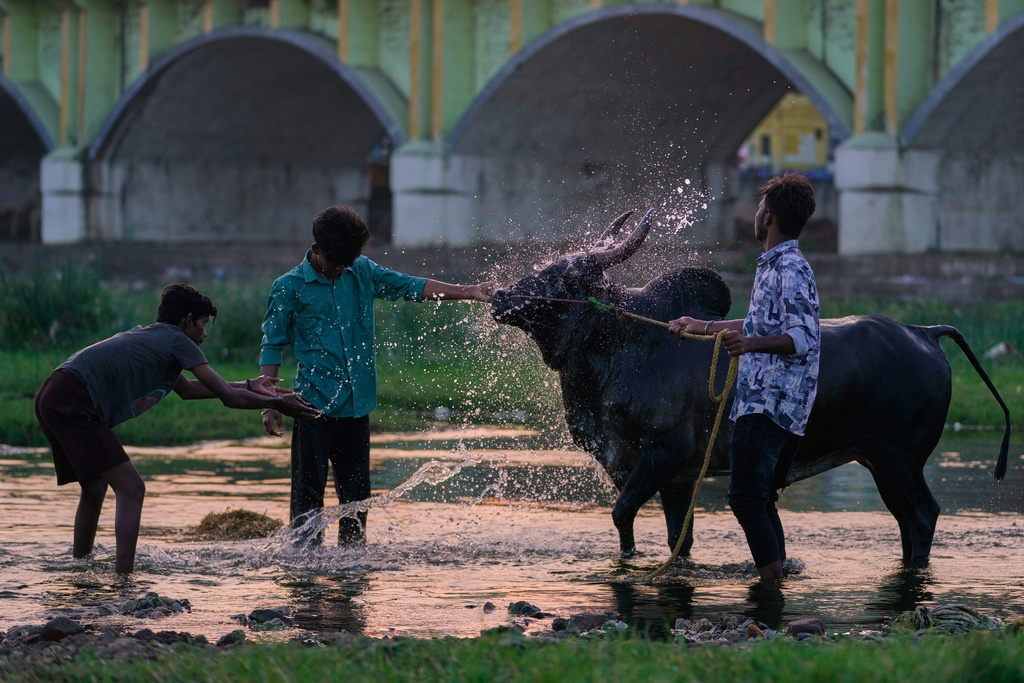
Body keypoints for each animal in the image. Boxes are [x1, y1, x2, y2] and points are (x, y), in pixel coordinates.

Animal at [489, 210, 1011, 565]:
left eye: (565, 276)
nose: (498, 297)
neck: (623, 345)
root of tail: (924, 332)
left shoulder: (661, 455)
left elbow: (621, 515)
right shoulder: (673, 476)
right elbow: (676, 538)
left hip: (897, 459)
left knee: (922, 515)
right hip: (881, 462)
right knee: (908, 519)